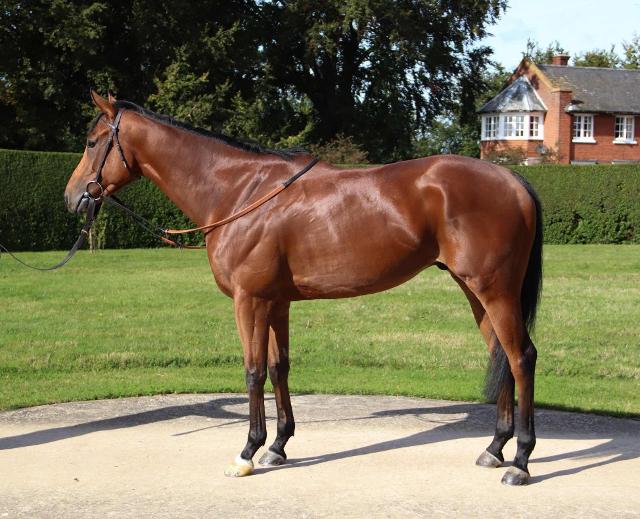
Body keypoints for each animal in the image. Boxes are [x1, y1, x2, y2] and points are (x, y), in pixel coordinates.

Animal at [65, 91, 542, 485]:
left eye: (91, 142)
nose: (73, 198)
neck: (240, 193)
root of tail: (512, 180)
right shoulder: (276, 302)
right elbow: (280, 368)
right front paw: (277, 446)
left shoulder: (250, 301)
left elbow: (253, 371)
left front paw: (247, 452)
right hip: (475, 291)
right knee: (500, 354)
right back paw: (494, 449)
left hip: (494, 290)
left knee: (521, 357)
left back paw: (520, 462)